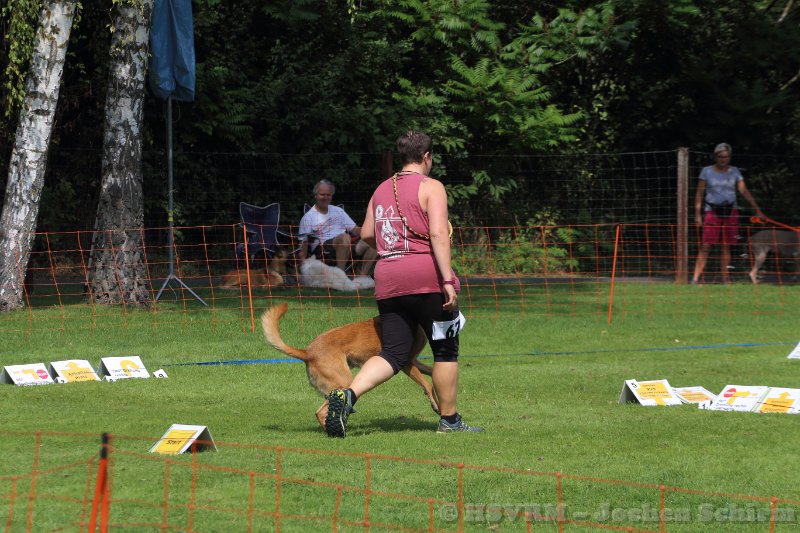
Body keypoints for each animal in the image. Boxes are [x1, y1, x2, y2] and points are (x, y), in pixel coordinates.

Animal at [261, 303, 438, 429]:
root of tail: (307, 352)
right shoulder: (406, 363)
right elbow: (427, 384)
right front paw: (435, 404)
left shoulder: (414, 361)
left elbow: (431, 372)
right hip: (345, 381)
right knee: (320, 412)